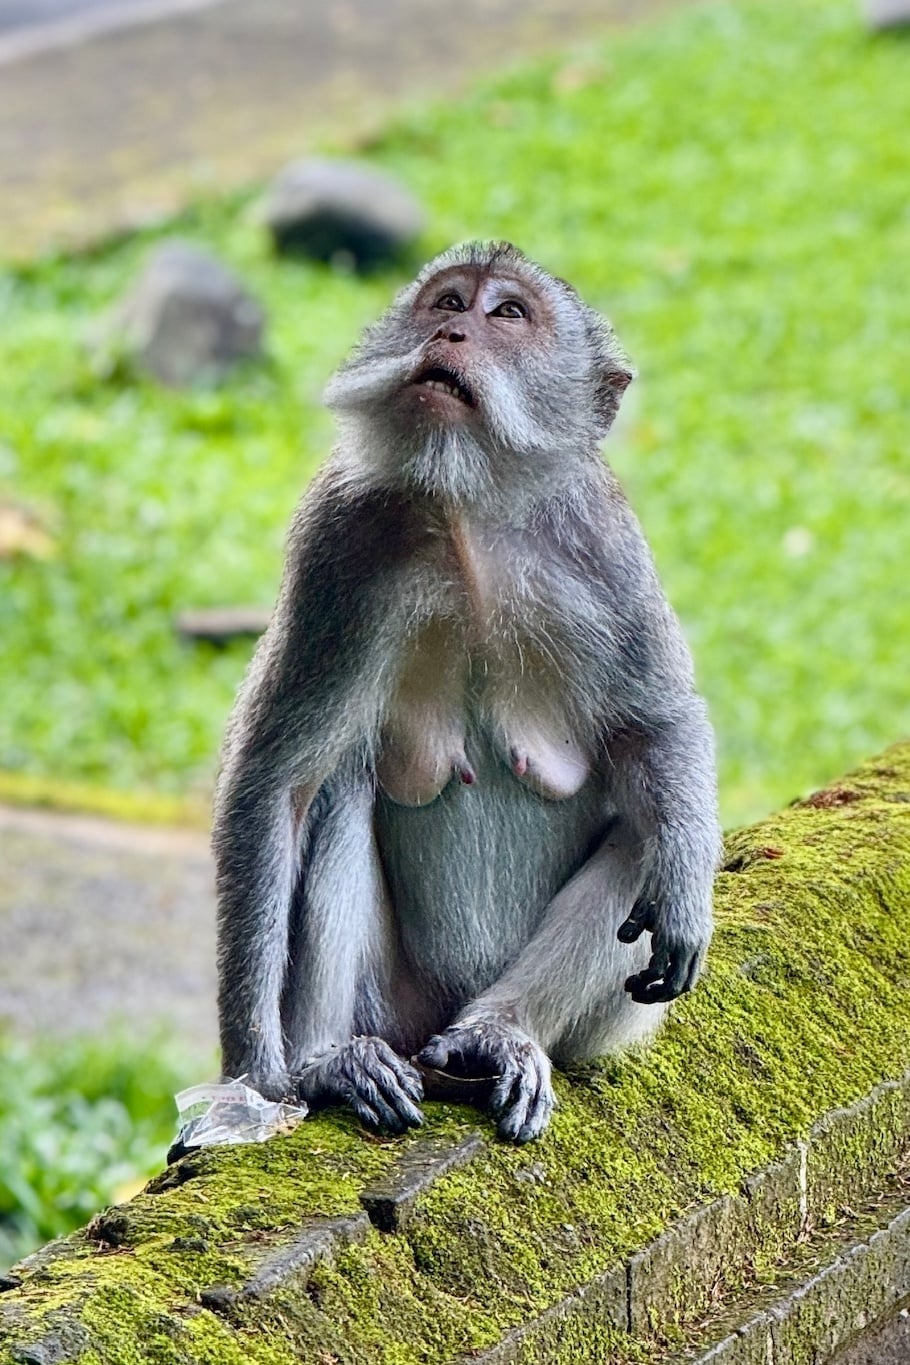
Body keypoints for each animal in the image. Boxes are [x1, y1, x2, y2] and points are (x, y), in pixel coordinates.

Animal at [213, 241, 721, 1145]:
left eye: (508, 314)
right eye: (448, 301)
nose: (450, 332)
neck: (466, 507)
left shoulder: (605, 543)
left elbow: (658, 725)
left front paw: (687, 888)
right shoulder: (336, 540)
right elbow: (277, 782)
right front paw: (259, 1073)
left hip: (597, 1025)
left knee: (644, 833)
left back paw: (497, 1033)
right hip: (394, 1000)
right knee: (339, 789)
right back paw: (334, 1060)